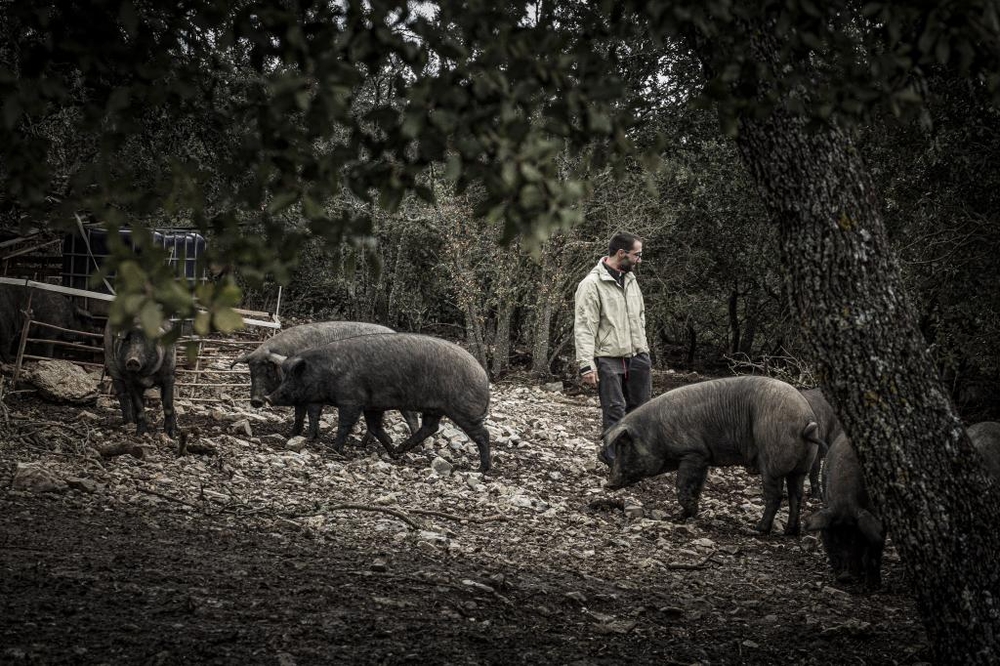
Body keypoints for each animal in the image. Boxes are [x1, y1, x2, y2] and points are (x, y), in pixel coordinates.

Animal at [230, 320, 418, 438]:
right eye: (251, 371)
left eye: (269, 370)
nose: (256, 400)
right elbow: (300, 414)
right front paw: (293, 434)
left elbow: (310, 413)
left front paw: (308, 437)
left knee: (411, 416)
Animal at [262, 334, 488, 470]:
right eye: (284, 376)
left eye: (295, 377)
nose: (268, 397)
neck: (327, 373)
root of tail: (483, 374)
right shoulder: (373, 405)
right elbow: (375, 427)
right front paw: (392, 452)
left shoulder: (351, 400)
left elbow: (345, 425)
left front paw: (334, 450)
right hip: (434, 408)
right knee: (430, 427)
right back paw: (400, 450)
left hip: (464, 410)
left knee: (482, 434)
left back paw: (483, 469)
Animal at [600, 374, 820, 536]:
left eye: (623, 446)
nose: (608, 484)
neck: (655, 432)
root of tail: (806, 419)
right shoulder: (704, 458)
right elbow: (696, 487)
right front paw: (684, 516)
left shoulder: (693, 453)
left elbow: (682, 486)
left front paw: (681, 516)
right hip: (802, 466)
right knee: (796, 494)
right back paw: (791, 532)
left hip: (772, 460)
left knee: (776, 495)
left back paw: (757, 530)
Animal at [800, 434, 888, 588]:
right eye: (832, 538)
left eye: (857, 538)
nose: (845, 576)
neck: (844, 501)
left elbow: (874, 550)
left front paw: (873, 585)